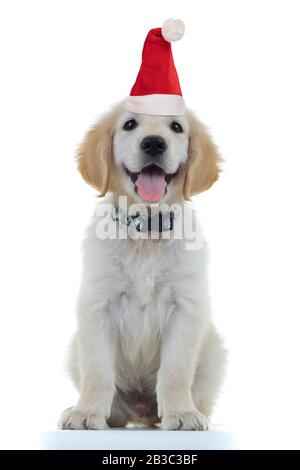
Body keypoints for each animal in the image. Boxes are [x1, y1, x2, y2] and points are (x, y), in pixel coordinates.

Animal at [59, 102, 226, 430]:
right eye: (129, 124)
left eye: (176, 127)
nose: (153, 143)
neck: (146, 232)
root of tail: (141, 411)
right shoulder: (98, 305)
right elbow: (97, 369)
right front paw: (86, 413)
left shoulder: (185, 308)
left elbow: (175, 370)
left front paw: (181, 413)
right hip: (74, 350)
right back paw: (104, 412)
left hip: (214, 351)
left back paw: (186, 411)